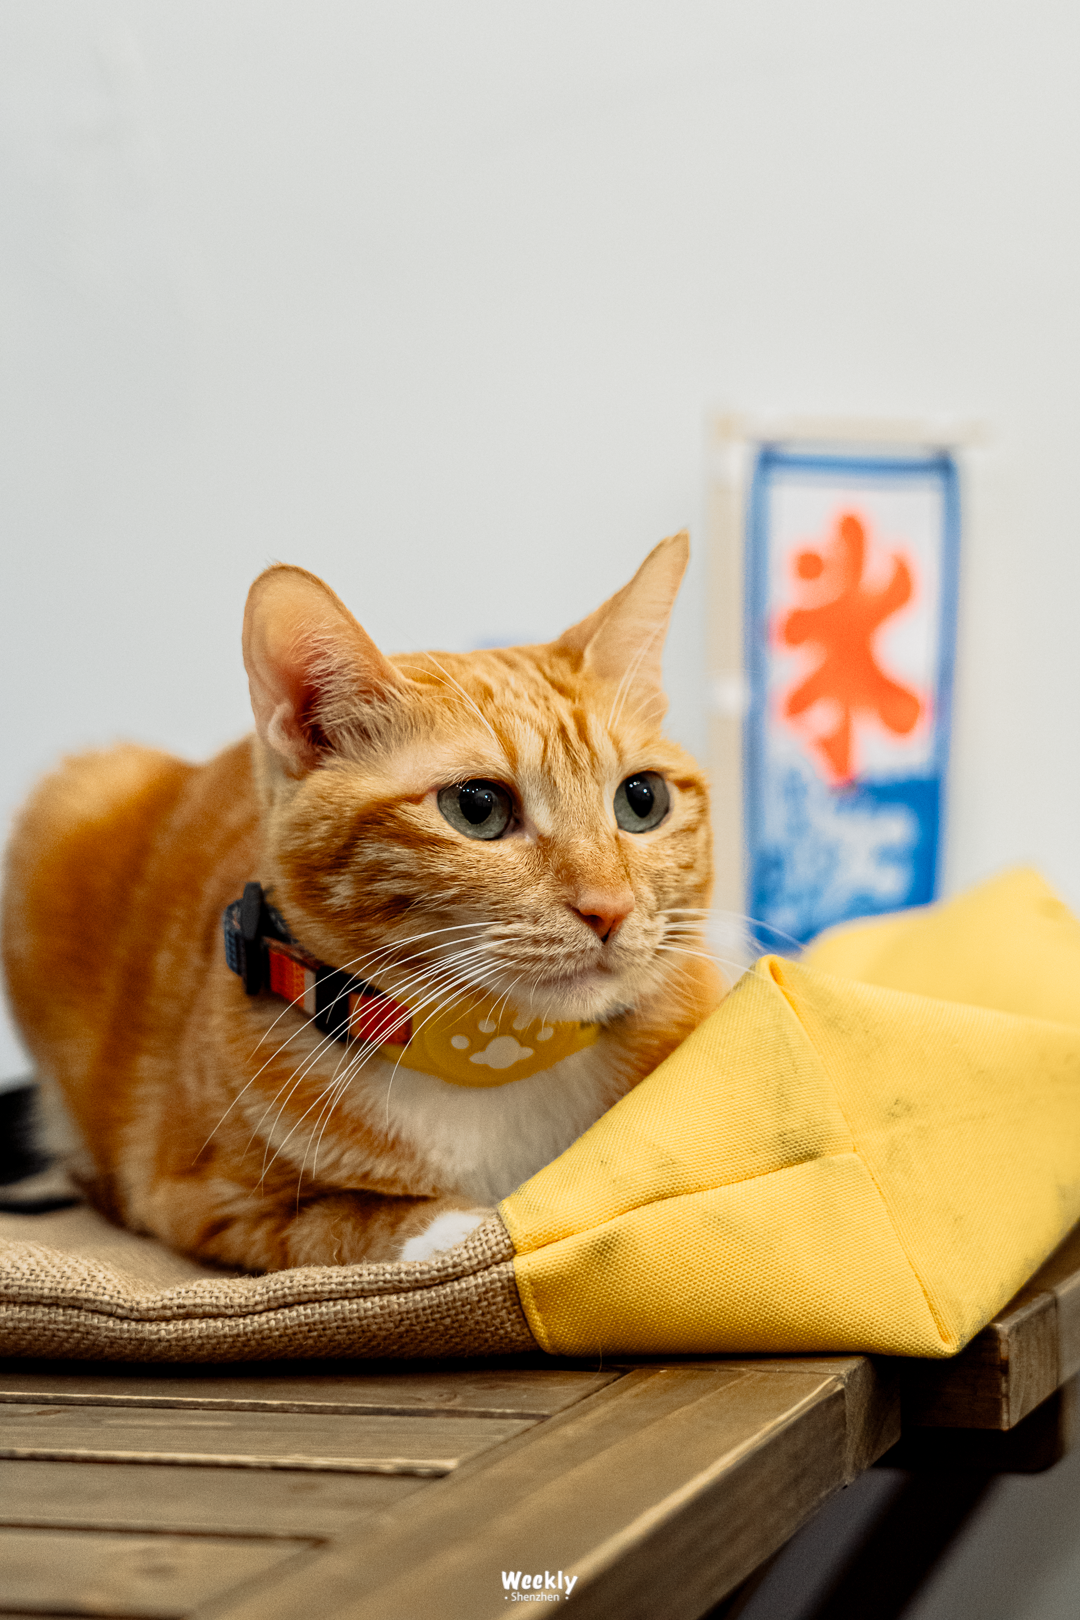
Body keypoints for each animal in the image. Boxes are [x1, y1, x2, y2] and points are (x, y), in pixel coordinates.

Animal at [2, 533, 721, 1270]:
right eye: (478, 807)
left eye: (642, 800)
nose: (609, 909)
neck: (492, 1057)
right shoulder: (202, 1201)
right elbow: (342, 1221)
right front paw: (460, 1228)